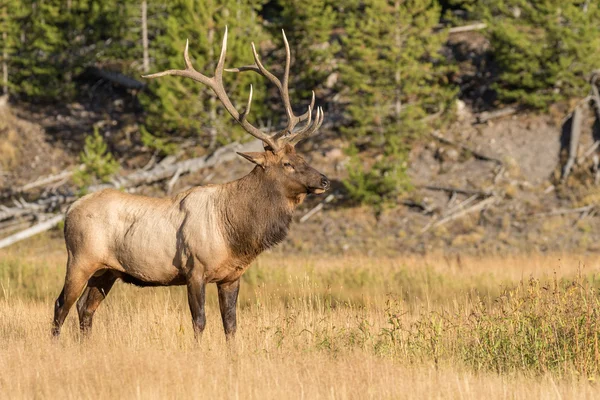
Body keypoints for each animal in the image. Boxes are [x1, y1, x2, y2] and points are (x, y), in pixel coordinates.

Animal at [52, 28, 330, 340]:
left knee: (85, 308)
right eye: (287, 164)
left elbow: (231, 325)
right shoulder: (194, 270)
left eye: (303, 156)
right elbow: (199, 321)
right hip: (80, 258)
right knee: (61, 304)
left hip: (107, 271)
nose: (324, 180)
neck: (235, 233)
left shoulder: (231, 276)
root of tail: (69, 211)